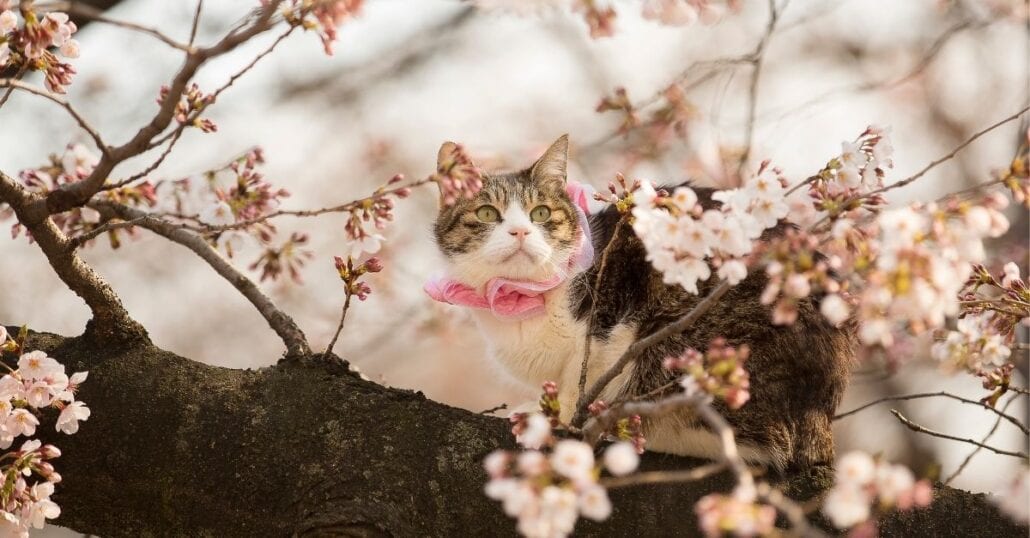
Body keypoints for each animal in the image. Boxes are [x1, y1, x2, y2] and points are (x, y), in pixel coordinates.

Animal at [426, 133, 852, 469]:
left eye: (541, 213)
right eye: (487, 213)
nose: (519, 231)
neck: (520, 298)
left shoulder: (604, 328)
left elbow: (577, 382)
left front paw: (557, 421)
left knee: (750, 442)